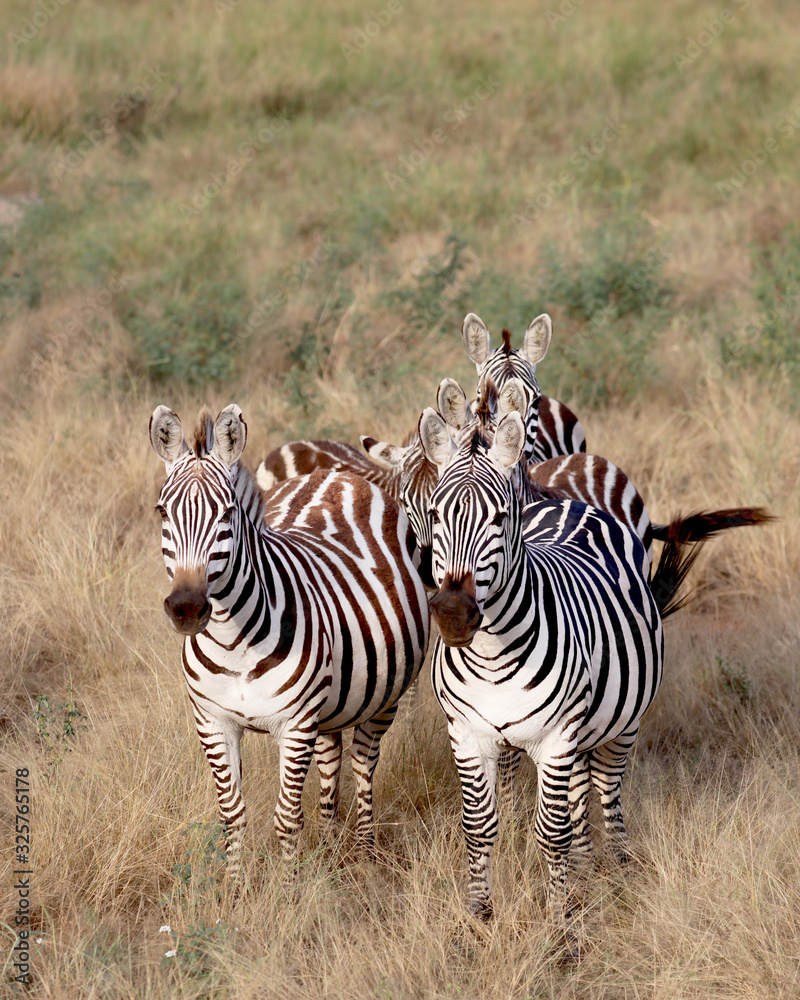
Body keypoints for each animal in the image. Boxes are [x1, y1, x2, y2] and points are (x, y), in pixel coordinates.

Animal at [150, 404, 429, 883]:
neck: (233, 644)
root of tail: (337, 476)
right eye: (163, 512)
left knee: (363, 762)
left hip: (384, 696)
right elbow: (232, 814)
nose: (186, 608)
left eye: (227, 514)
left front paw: (287, 888)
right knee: (333, 755)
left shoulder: (295, 725)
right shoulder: (213, 722)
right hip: (334, 699)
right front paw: (235, 888)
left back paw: (365, 852)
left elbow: (286, 818)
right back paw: (331, 841)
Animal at [417, 406, 691, 928]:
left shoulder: (556, 737)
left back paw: (618, 869)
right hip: (582, 729)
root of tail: (572, 504)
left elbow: (550, 831)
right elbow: (478, 828)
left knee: (605, 790)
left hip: (620, 723)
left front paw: (562, 922)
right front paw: (479, 917)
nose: (452, 614)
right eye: (437, 515)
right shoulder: (466, 734)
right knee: (581, 793)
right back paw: (585, 867)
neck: (492, 659)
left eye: (499, 519)